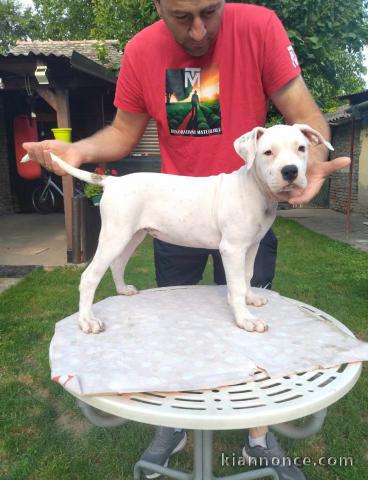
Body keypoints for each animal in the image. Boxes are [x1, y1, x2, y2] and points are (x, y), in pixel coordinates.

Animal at [22, 124, 334, 334]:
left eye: (302, 149)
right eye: (268, 152)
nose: (291, 171)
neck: (255, 189)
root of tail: (113, 181)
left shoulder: (252, 246)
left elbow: (246, 277)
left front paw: (250, 299)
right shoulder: (232, 249)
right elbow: (234, 285)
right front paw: (244, 319)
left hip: (132, 235)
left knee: (117, 265)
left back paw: (123, 290)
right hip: (114, 235)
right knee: (89, 277)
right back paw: (87, 321)